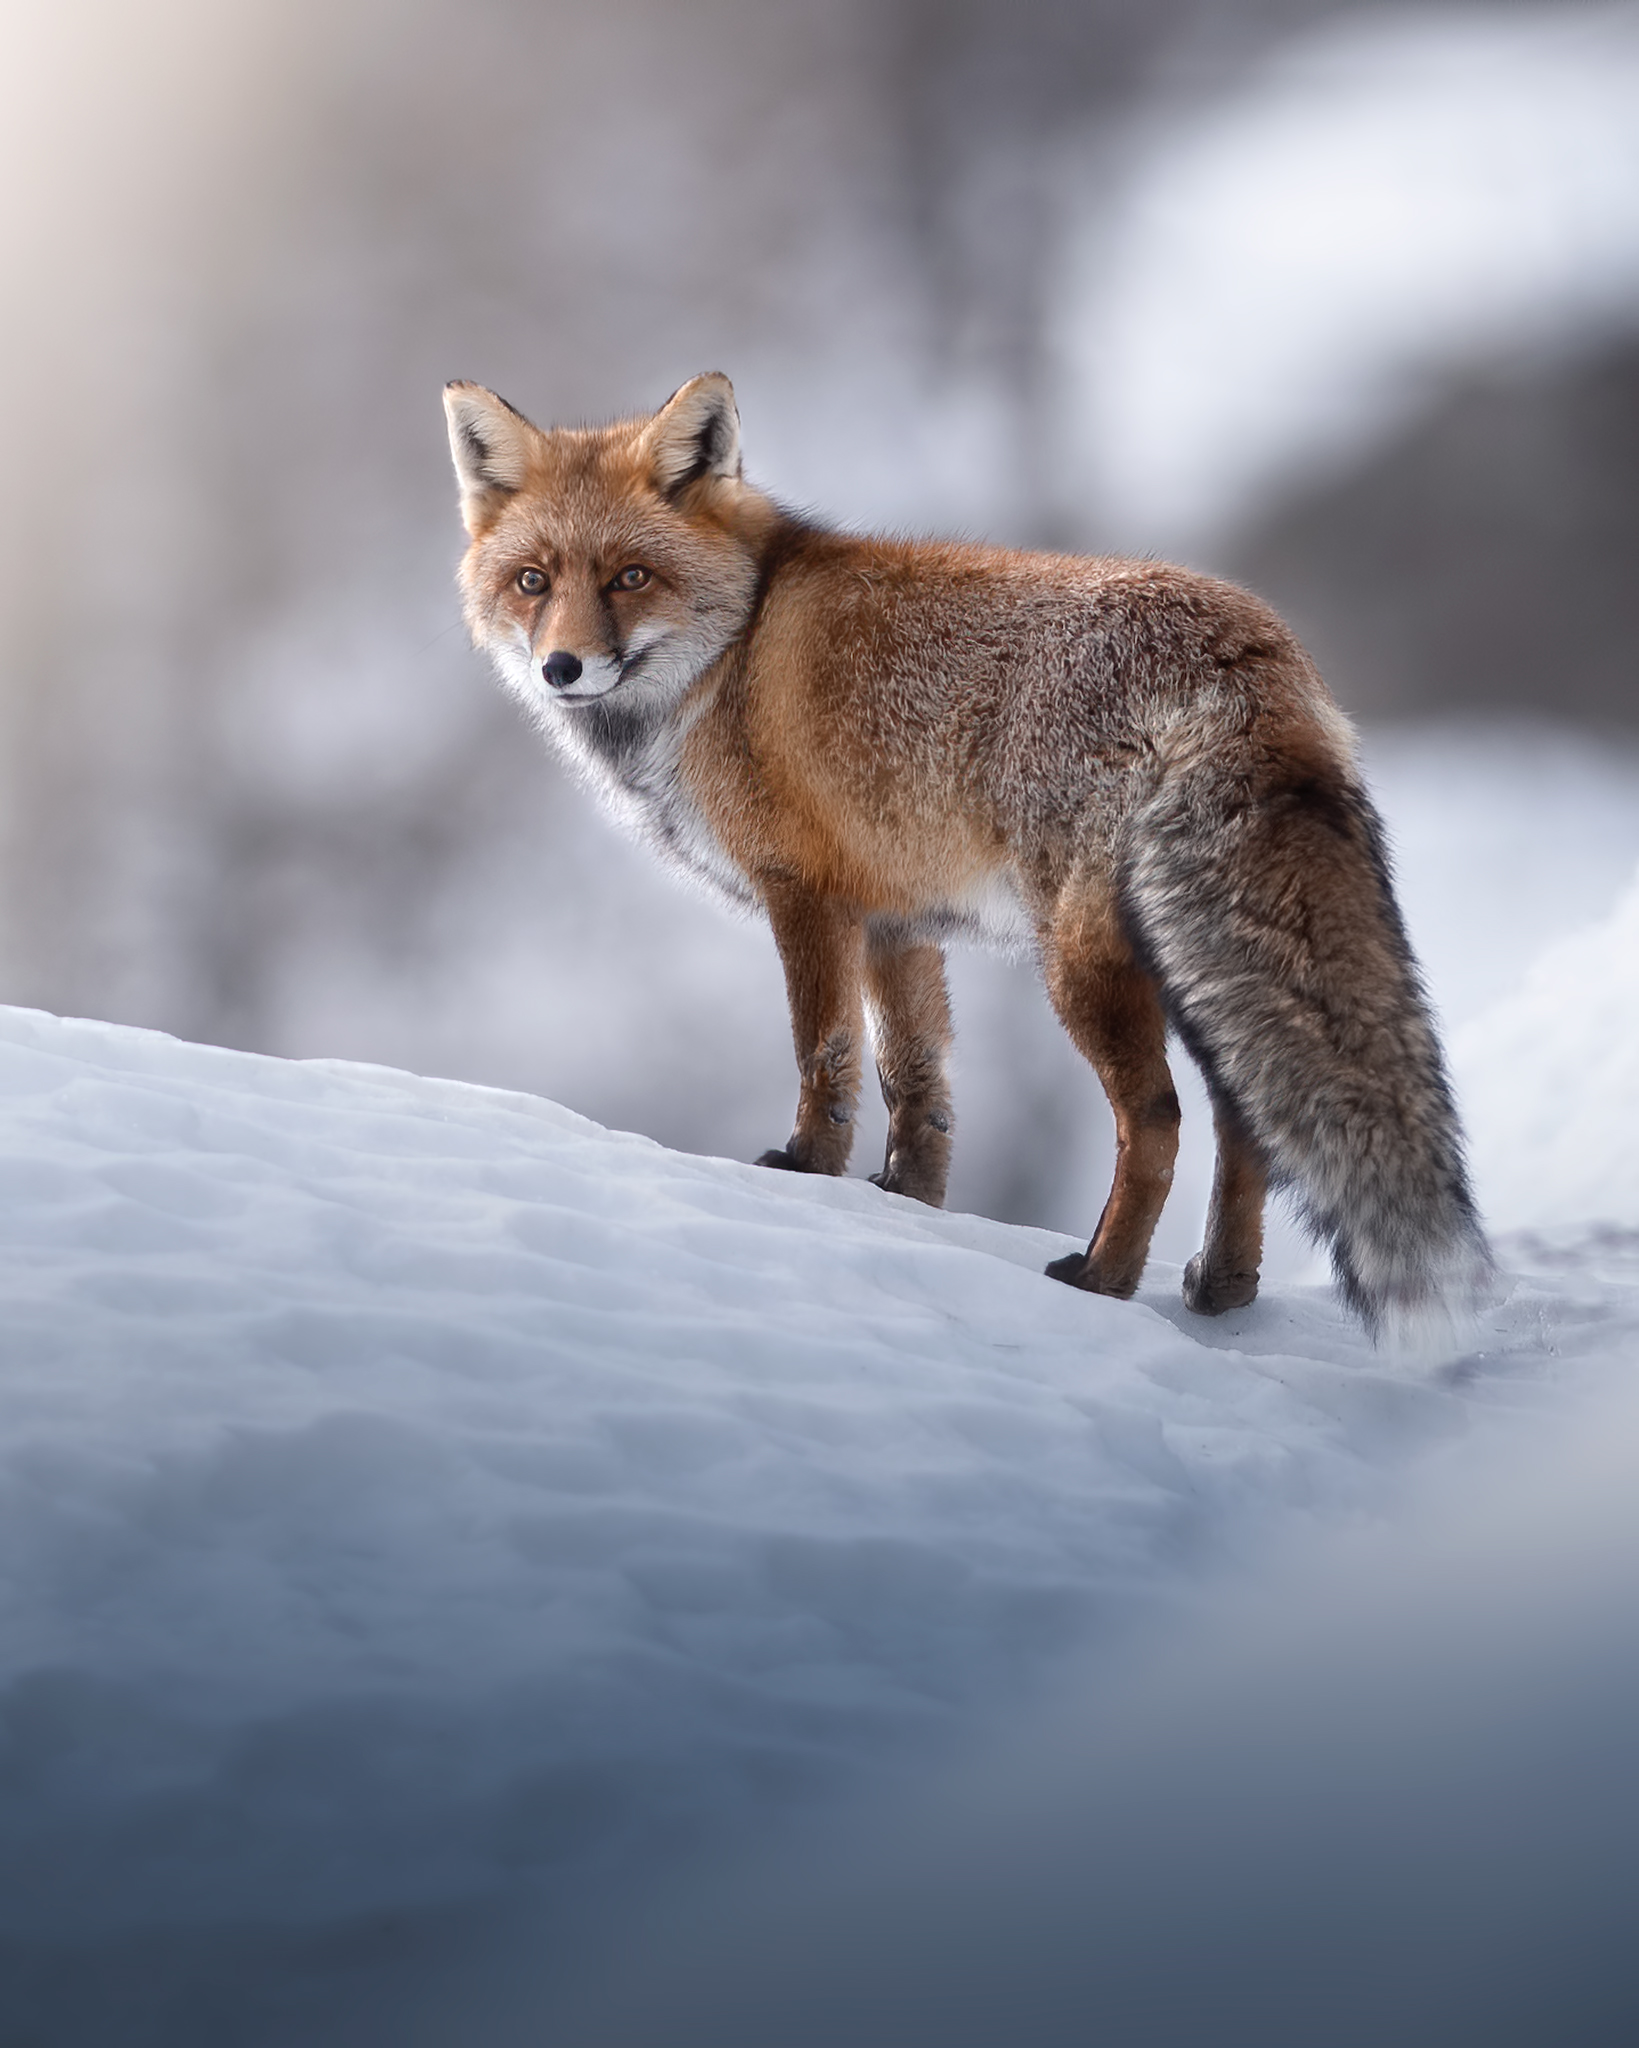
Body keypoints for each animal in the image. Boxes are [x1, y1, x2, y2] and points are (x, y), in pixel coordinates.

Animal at [443, 372, 1492, 1342]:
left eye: (629, 578)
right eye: (532, 582)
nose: (561, 668)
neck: (729, 655)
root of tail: (1246, 649)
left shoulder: (804, 894)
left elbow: (824, 1058)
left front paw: (807, 1174)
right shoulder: (895, 923)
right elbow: (917, 1090)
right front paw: (904, 1207)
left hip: (1079, 961)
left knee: (1158, 1121)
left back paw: (1104, 1279)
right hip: (1188, 958)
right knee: (1248, 1124)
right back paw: (1220, 1287)